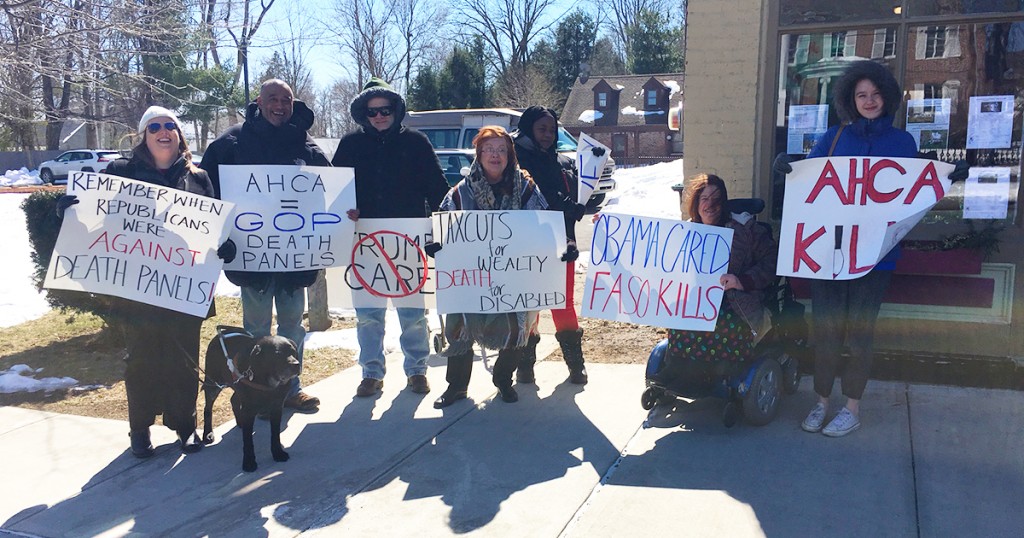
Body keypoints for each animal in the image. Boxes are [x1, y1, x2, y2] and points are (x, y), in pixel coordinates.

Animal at [202, 325, 299, 471]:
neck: (267, 382)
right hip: (213, 384)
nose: (297, 364)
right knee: (207, 408)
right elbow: (248, 441)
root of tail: (222, 333)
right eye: (278, 354)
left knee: (234, 399)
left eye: (293, 351)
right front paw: (248, 462)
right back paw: (208, 434)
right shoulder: (248, 410)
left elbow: (275, 435)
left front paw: (277, 453)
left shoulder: (276, 407)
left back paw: (240, 422)